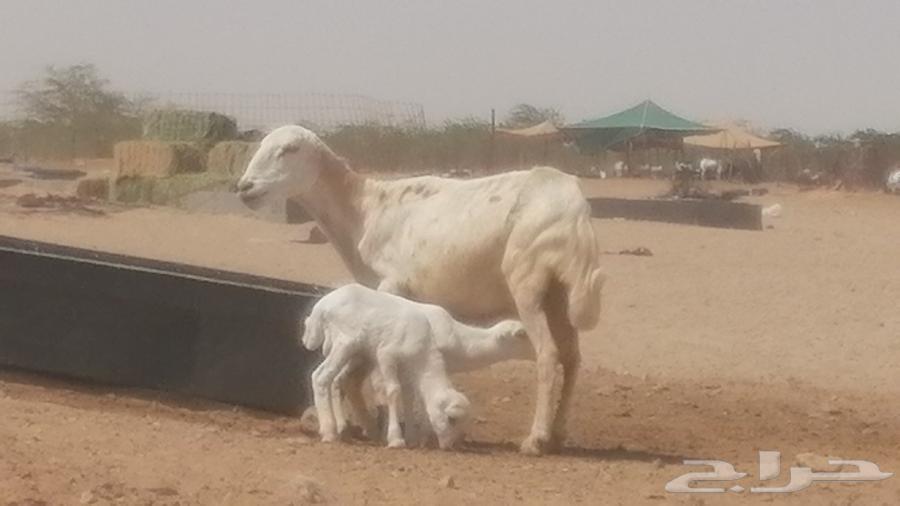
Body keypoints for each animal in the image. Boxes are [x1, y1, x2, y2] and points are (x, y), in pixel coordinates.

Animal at [302, 284, 527, 450]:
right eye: (521, 336)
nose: (449, 446)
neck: (460, 340)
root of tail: (320, 307)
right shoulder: (387, 355)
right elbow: (398, 393)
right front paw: (402, 438)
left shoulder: (410, 369)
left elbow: (410, 397)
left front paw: (412, 436)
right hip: (346, 343)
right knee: (321, 377)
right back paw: (330, 431)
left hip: (356, 354)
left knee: (339, 382)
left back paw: (353, 428)